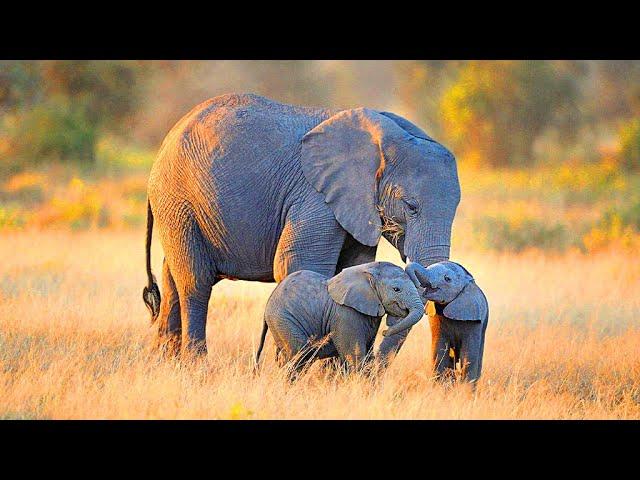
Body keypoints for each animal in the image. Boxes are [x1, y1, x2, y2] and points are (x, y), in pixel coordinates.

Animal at [142, 94, 460, 356]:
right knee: (195, 283)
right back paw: (197, 365)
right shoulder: (315, 197)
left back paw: (166, 363)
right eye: (411, 206)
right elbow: (298, 264)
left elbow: (352, 267)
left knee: (171, 279)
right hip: (178, 201)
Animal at [255, 262, 424, 376]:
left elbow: (368, 355)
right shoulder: (346, 315)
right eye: (396, 289)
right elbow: (355, 356)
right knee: (299, 356)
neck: (368, 271)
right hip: (283, 320)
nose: (385, 331)